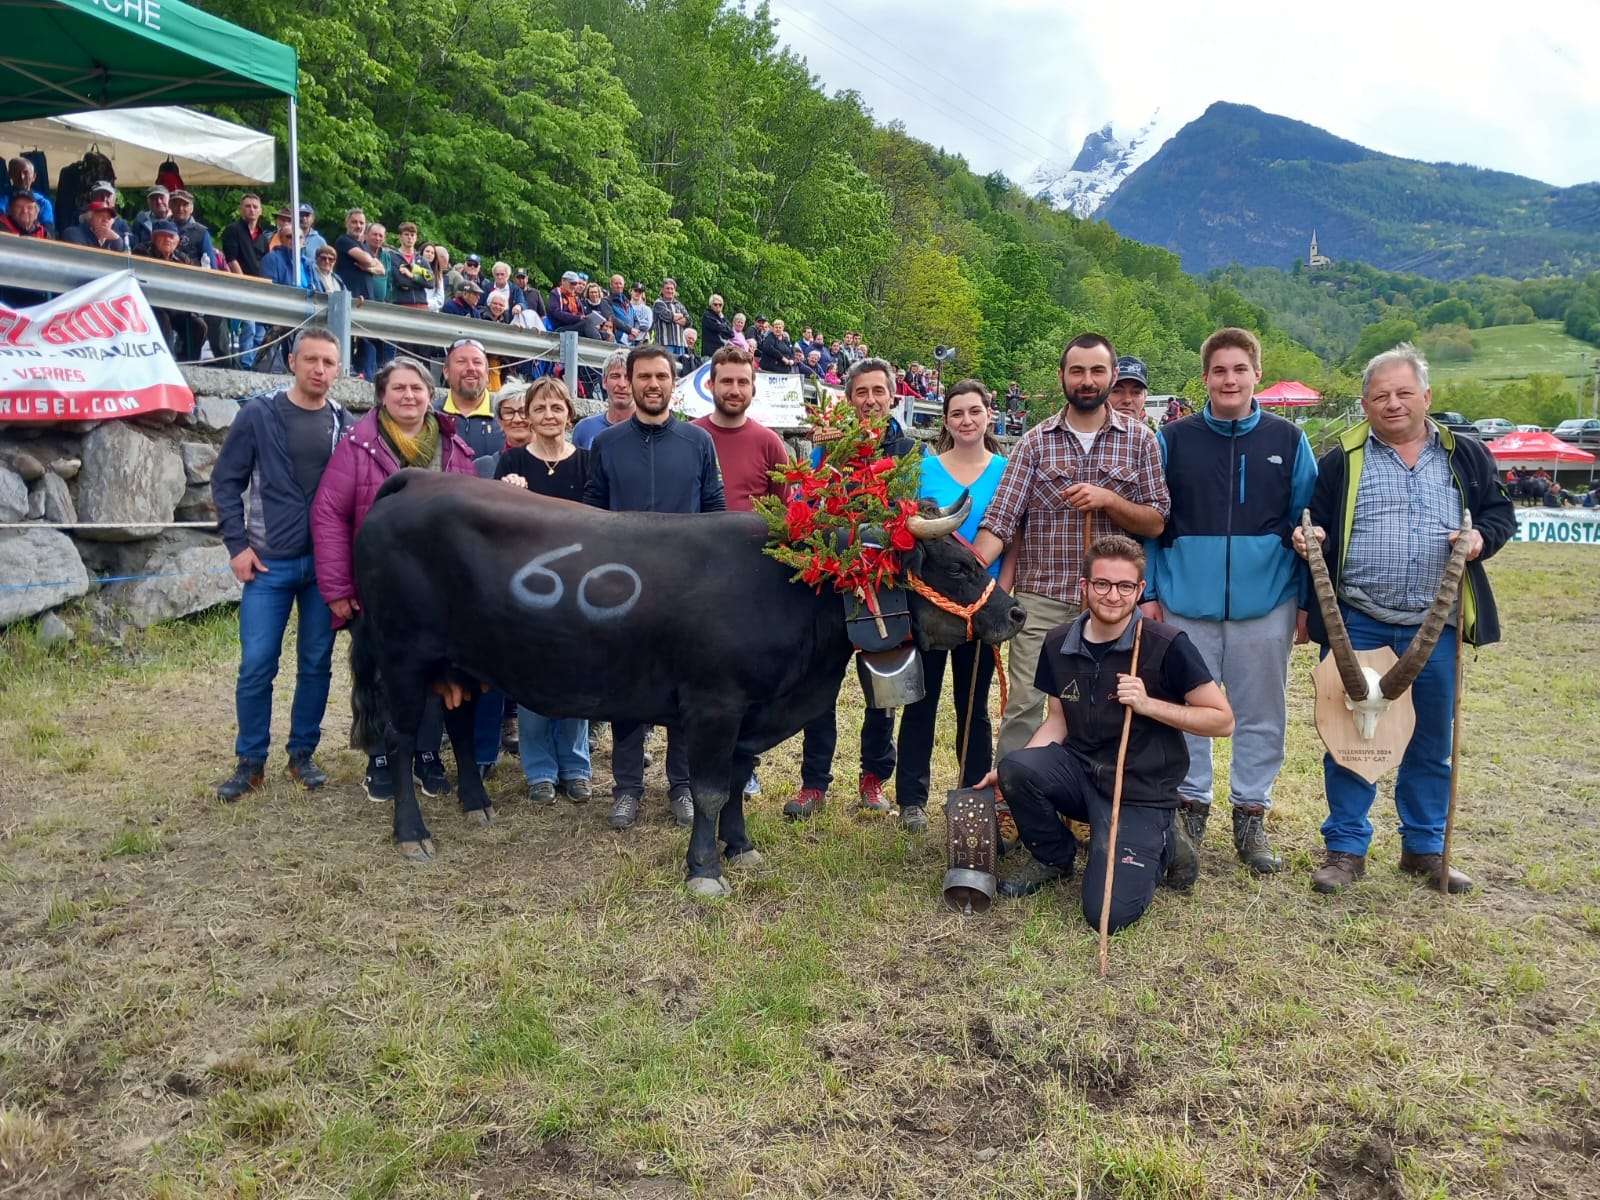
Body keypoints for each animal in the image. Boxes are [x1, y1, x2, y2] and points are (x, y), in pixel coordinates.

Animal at [350, 473, 1024, 896]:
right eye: (958, 566)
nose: (1015, 613)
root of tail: (419, 479)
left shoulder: (754, 712)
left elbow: (735, 781)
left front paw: (741, 848)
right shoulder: (714, 705)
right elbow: (708, 789)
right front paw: (704, 870)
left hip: (459, 662)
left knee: (461, 724)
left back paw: (477, 804)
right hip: (402, 656)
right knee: (403, 738)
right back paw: (413, 835)